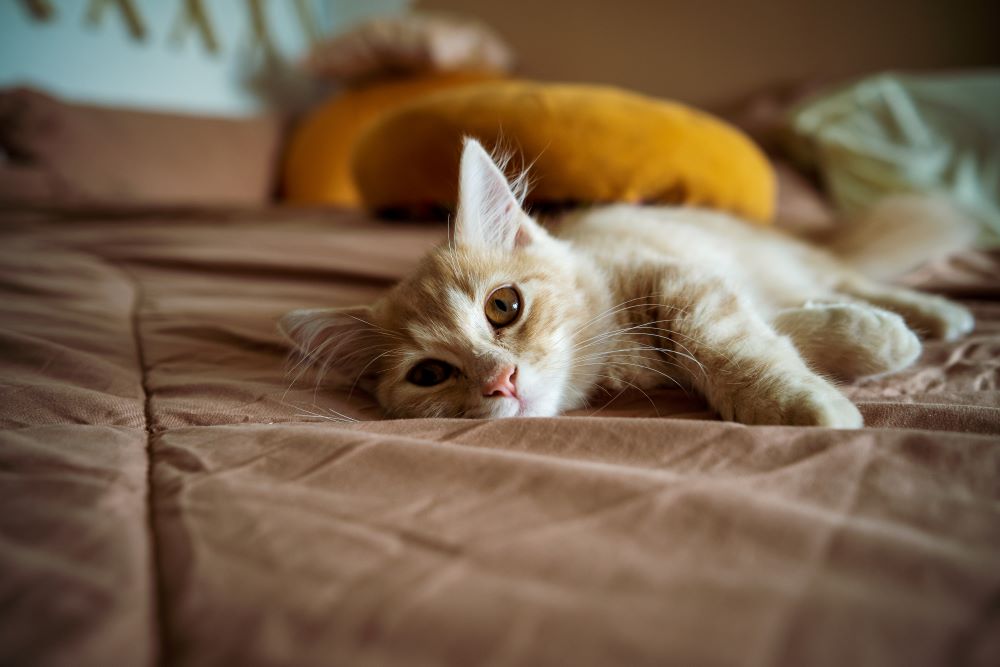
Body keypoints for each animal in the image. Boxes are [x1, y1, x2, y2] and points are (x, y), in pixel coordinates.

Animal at [282, 138, 976, 428]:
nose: (500, 380)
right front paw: (863, 341)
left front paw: (808, 399)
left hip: (800, 261)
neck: (614, 344)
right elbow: (776, 330)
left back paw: (938, 314)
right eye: (429, 374)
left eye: (503, 306)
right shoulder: (711, 292)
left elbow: (735, 346)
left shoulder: (684, 283)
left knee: (856, 277)